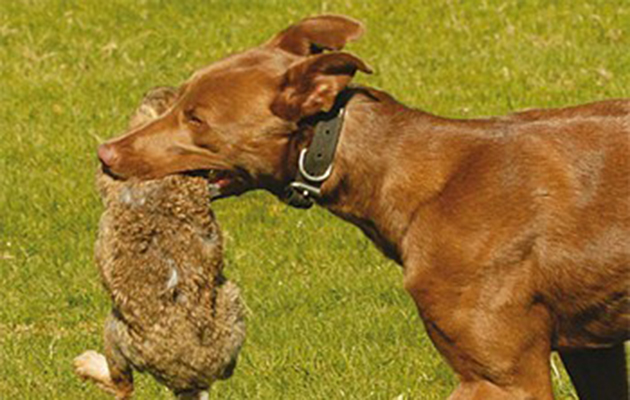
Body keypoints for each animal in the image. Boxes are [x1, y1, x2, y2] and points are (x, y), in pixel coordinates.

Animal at [96, 15, 628, 400]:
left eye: (197, 119)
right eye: (179, 100)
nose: (105, 152)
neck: (402, 172)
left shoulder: (503, 379)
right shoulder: (592, 349)